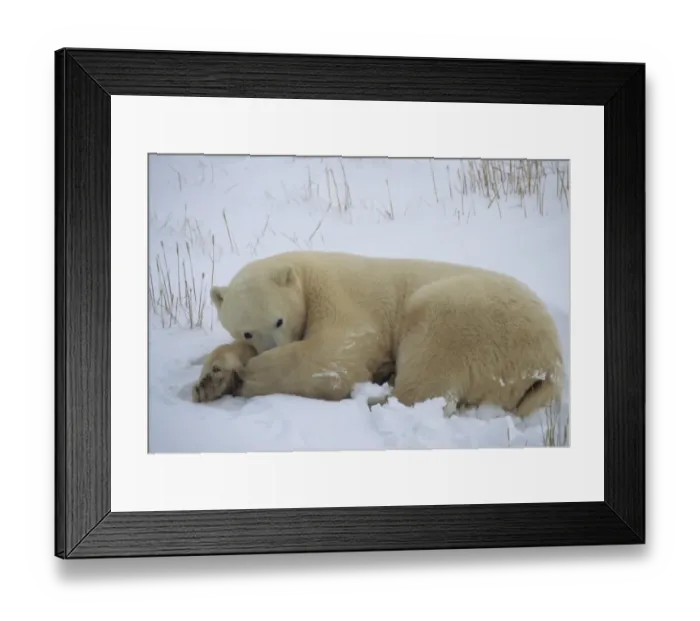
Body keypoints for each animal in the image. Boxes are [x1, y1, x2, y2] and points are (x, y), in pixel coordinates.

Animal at [191, 250, 564, 419]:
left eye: (279, 321)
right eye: (247, 331)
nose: (268, 347)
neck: (306, 272)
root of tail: (550, 363)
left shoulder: (339, 297)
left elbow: (335, 356)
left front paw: (244, 377)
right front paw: (211, 378)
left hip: (466, 317)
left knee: (429, 370)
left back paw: (376, 397)